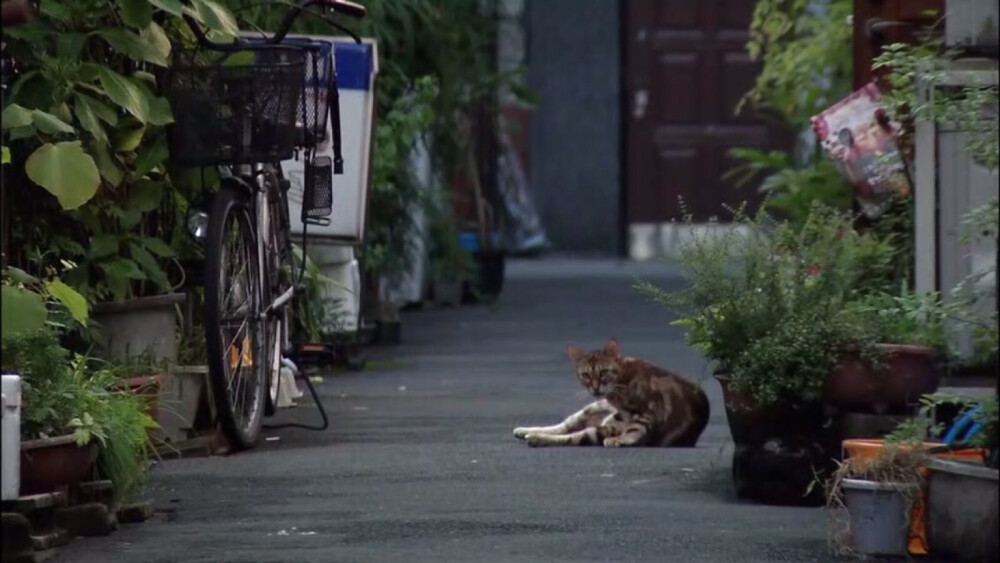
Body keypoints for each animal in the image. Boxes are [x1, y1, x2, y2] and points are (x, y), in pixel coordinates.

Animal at [516, 340, 712, 450]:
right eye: (585, 375)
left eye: (603, 372)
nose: (595, 388)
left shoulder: (652, 408)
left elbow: (635, 426)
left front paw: (625, 439)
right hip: (594, 409)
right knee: (567, 424)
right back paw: (526, 431)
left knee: (574, 431)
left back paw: (534, 436)